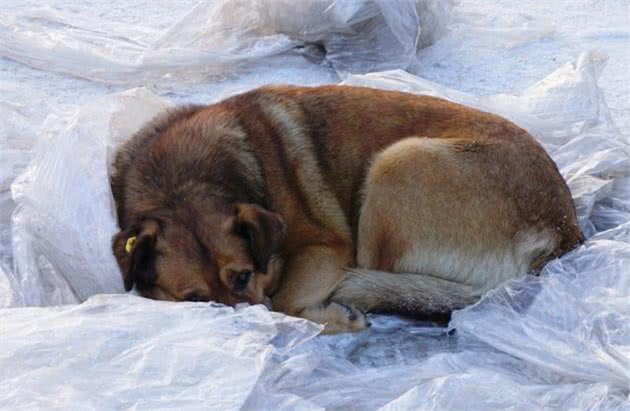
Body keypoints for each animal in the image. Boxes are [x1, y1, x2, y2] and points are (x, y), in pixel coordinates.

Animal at [111, 85, 584, 334]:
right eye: (194, 300)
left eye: (243, 276)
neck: (183, 182)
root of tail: (562, 230)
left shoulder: (327, 249)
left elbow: (282, 299)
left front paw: (336, 317)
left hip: (395, 165)